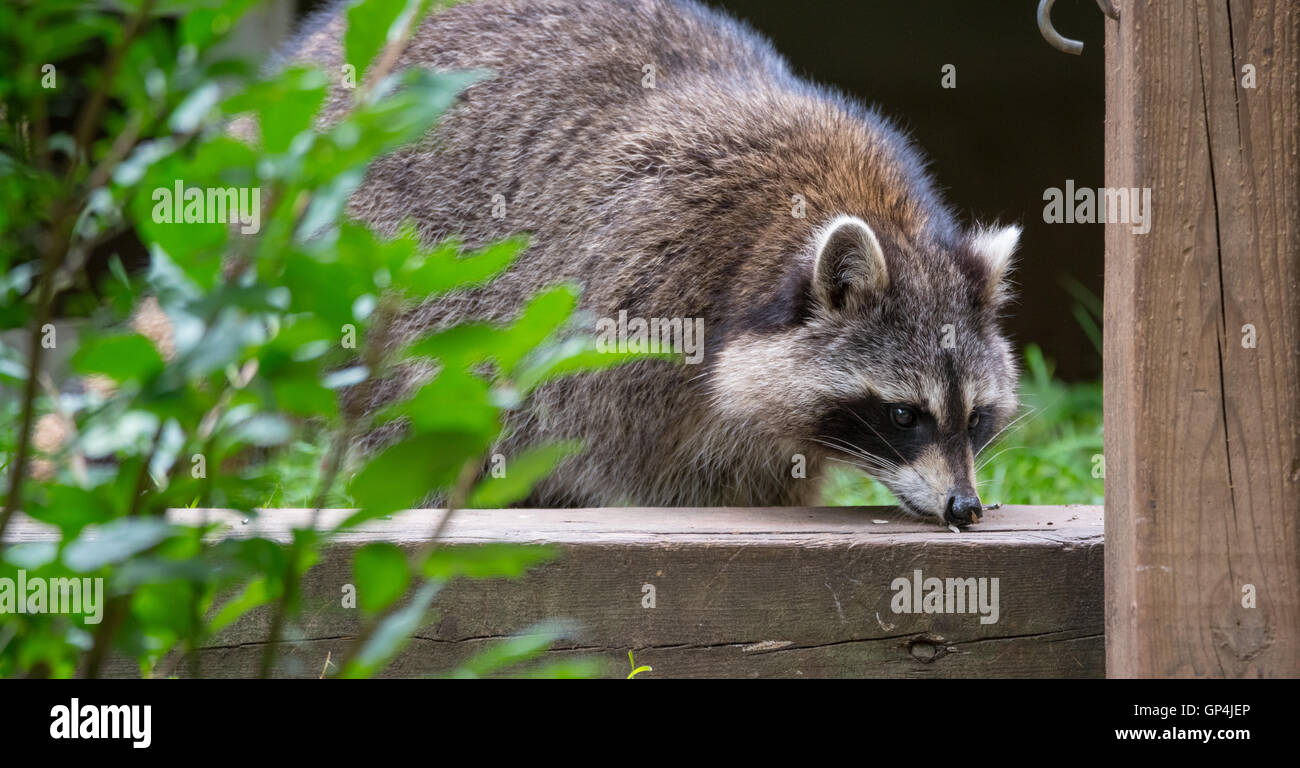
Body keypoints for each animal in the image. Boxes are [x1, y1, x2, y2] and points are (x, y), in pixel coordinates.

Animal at [279, 0, 1019, 524]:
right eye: (903, 415)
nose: (963, 507)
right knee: (421, 400)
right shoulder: (638, 294)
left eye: (976, 418)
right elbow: (630, 459)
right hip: (367, 254)